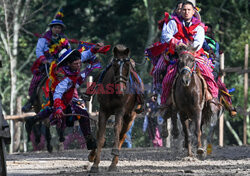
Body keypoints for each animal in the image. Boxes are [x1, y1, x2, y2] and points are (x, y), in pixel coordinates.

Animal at [88, 44, 144, 172]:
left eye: (127, 65)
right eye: (114, 65)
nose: (121, 89)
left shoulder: (120, 110)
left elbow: (117, 129)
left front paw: (113, 157)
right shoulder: (103, 111)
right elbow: (100, 135)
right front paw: (95, 163)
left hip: (130, 116)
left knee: (122, 135)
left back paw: (114, 162)